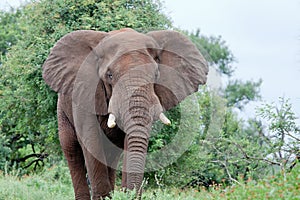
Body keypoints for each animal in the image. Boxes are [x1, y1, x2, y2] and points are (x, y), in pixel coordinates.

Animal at [42, 27, 209, 199]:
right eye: (109, 75)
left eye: (156, 75)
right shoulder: (86, 94)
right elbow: (91, 142)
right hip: (62, 111)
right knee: (72, 151)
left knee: (111, 155)